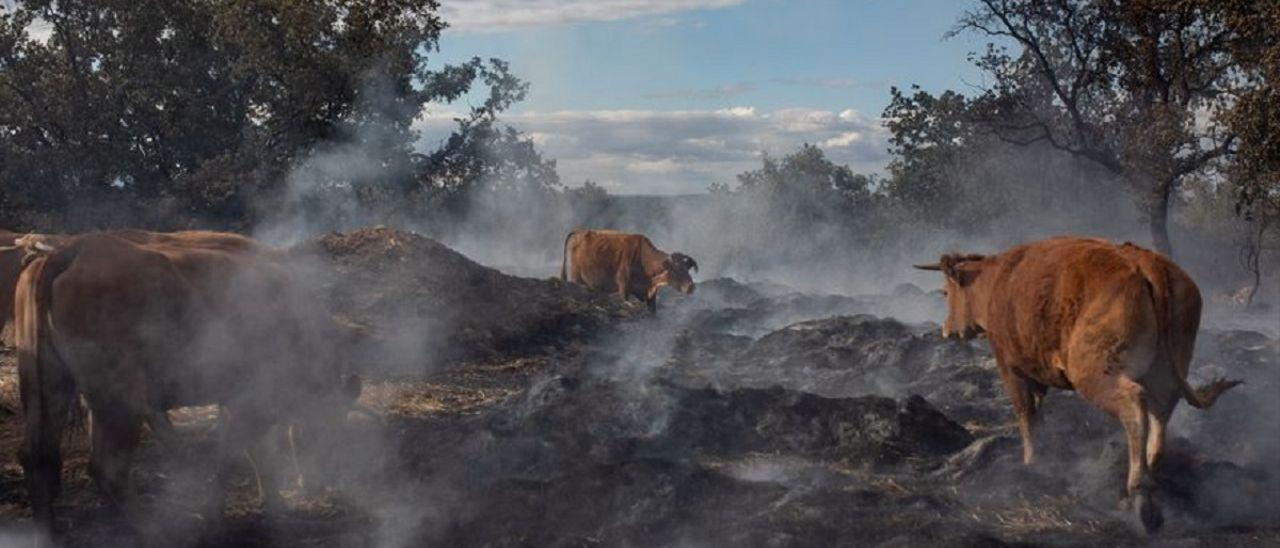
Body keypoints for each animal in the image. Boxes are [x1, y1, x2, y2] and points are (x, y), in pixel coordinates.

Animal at [16, 230, 360, 535]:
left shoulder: (234, 400)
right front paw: (218, 518)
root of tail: (76, 249)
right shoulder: (249, 400)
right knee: (109, 468)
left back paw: (45, 532)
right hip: (119, 404)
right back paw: (154, 532)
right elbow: (232, 456)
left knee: (37, 456)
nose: (322, 483)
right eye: (332, 422)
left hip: (52, 388)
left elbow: (254, 452)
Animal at [560, 227, 701, 312]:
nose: (691, 287)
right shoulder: (624, 289)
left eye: (687, 269)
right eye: (676, 270)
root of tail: (580, 231)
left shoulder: (651, 295)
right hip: (576, 278)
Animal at [916, 236, 1244, 535]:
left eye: (946, 292)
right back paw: (1151, 480)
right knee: (1160, 413)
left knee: (1134, 408)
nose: (947, 331)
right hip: (1163, 372)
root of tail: (1142, 260)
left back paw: (1139, 495)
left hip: (1094, 375)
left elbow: (1025, 414)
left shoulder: (1010, 367)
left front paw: (1030, 462)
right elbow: (1038, 412)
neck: (997, 281)